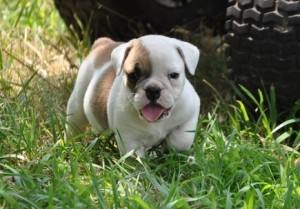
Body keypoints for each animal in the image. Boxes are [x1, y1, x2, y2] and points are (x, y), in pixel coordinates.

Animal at [67, 34, 200, 156]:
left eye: (174, 75)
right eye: (133, 75)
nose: (153, 90)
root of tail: (103, 44)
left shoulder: (191, 113)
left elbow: (182, 140)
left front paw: (172, 150)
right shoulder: (129, 138)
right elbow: (135, 159)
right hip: (78, 101)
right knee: (74, 124)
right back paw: (73, 146)